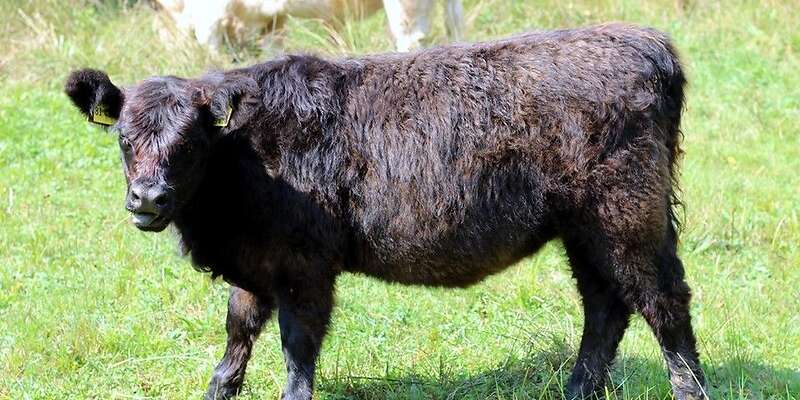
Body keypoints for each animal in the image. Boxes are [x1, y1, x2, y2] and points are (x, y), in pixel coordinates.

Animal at [64, 24, 707, 400]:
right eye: (123, 138)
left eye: (191, 142)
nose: (149, 199)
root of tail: (642, 40)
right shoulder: (255, 265)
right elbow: (237, 334)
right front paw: (218, 391)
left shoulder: (304, 268)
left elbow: (298, 348)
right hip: (585, 228)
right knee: (605, 307)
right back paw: (577, 391)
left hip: (626, 217)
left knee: (662, 302)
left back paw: (688, 390)